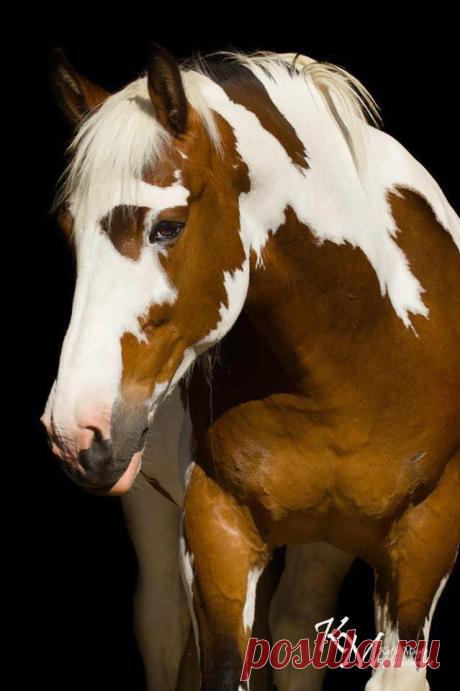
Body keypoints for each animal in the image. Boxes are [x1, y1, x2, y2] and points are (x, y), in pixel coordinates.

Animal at [42, 45, 460, 691]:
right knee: (164, 626)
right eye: (69, 231)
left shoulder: (424, 543)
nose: (74, 431)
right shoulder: (218, 534)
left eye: (167, 226)